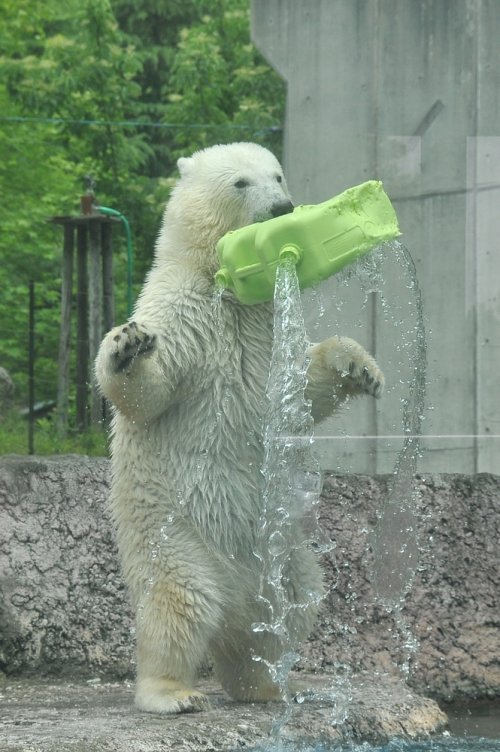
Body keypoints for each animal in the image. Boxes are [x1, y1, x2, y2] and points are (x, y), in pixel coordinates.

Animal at [95, 142, 384, 716]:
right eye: (240, 183)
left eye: (278, 175)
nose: (282, 207)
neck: (229, 290)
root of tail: (236, 602)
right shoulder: (185, 314)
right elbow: (150, 393)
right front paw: (126, 346)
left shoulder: (270, 324)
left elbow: (302, 389)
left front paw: (360, 366)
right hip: (178, 539)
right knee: (178, 605)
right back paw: (175, 693)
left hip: (287, 557)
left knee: (293, 608)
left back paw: (267, 685)